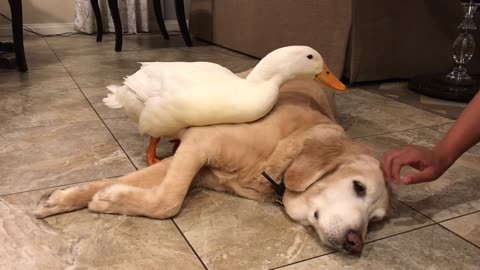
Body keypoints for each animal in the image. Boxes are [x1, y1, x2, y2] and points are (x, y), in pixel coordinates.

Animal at [35, 70, 392, 253]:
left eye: (375, 220)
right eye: (358, 186)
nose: (356, 244)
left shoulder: (195, 163)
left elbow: (137, 186)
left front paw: (94, 197)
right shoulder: (199, 143)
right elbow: (169, 200)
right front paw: (94, 199)